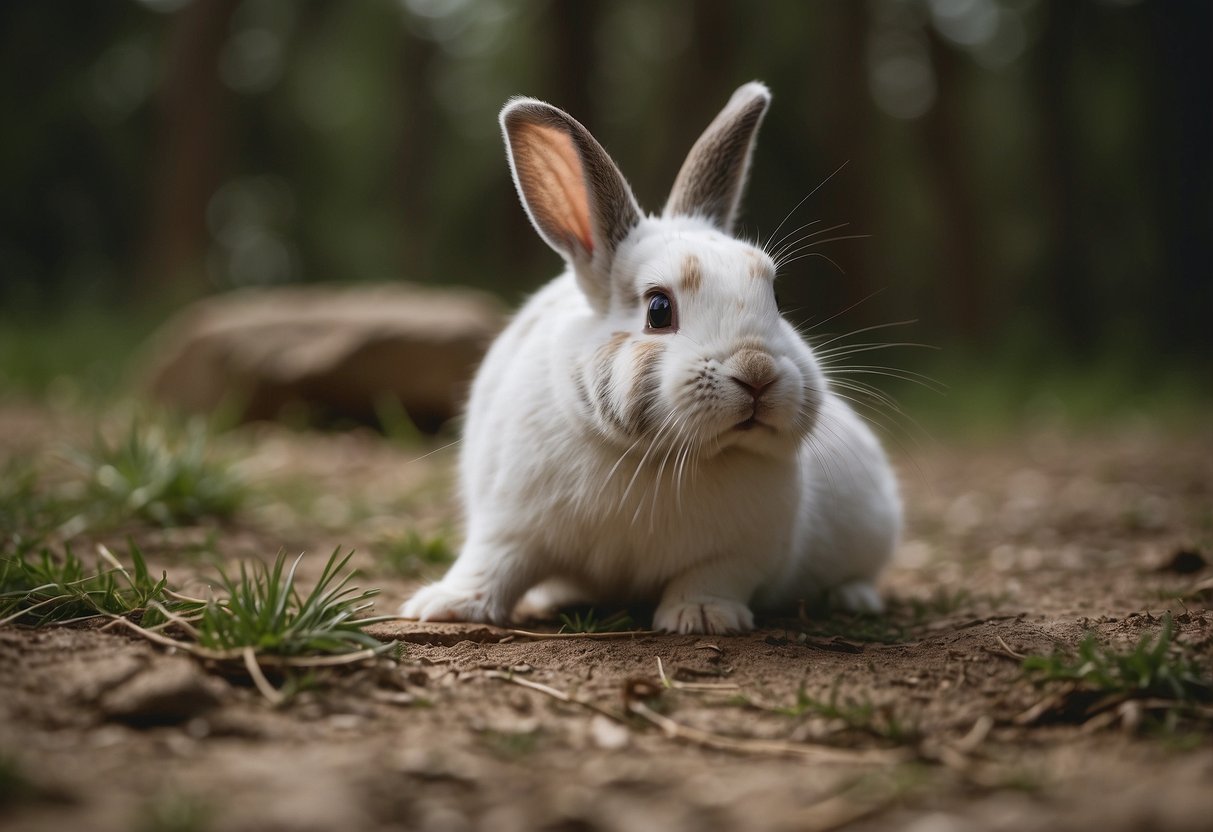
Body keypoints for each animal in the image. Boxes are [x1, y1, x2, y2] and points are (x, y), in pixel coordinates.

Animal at [400, 81, 902, 635]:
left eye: (775, 297)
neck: (655, 457)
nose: (757, 373)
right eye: (659, 310)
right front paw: (445, 607)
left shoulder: (739, 554)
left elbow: (710, 579)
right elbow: (491, 564)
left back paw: (853, 598)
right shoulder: (507, 524)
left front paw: (701, 617)